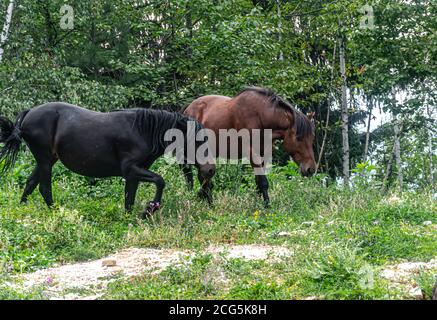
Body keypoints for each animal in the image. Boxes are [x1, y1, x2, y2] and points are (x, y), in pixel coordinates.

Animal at [0, 102, 215, 218]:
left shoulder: (133, 175)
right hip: (45, 161)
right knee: (44, 188)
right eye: (197, 140)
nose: (210, 170)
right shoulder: (131, 170)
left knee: (30, 184)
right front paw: (148, 211)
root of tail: (29, 113)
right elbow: (160, 181)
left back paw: (23, 212)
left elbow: (129, 199)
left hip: (47, 160)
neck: (142, 130)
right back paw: (57, 214)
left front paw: (133, 218)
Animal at [182, 86, 316, 206]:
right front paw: (267, 207)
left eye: (312, 138)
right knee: (190, 173)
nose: (311, 169)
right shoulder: (252, 153)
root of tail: (188, 108)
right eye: (299, 138)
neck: (260, 116)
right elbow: (263, 182)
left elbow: (258, 182)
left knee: (204, 176)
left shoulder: (263, 155)